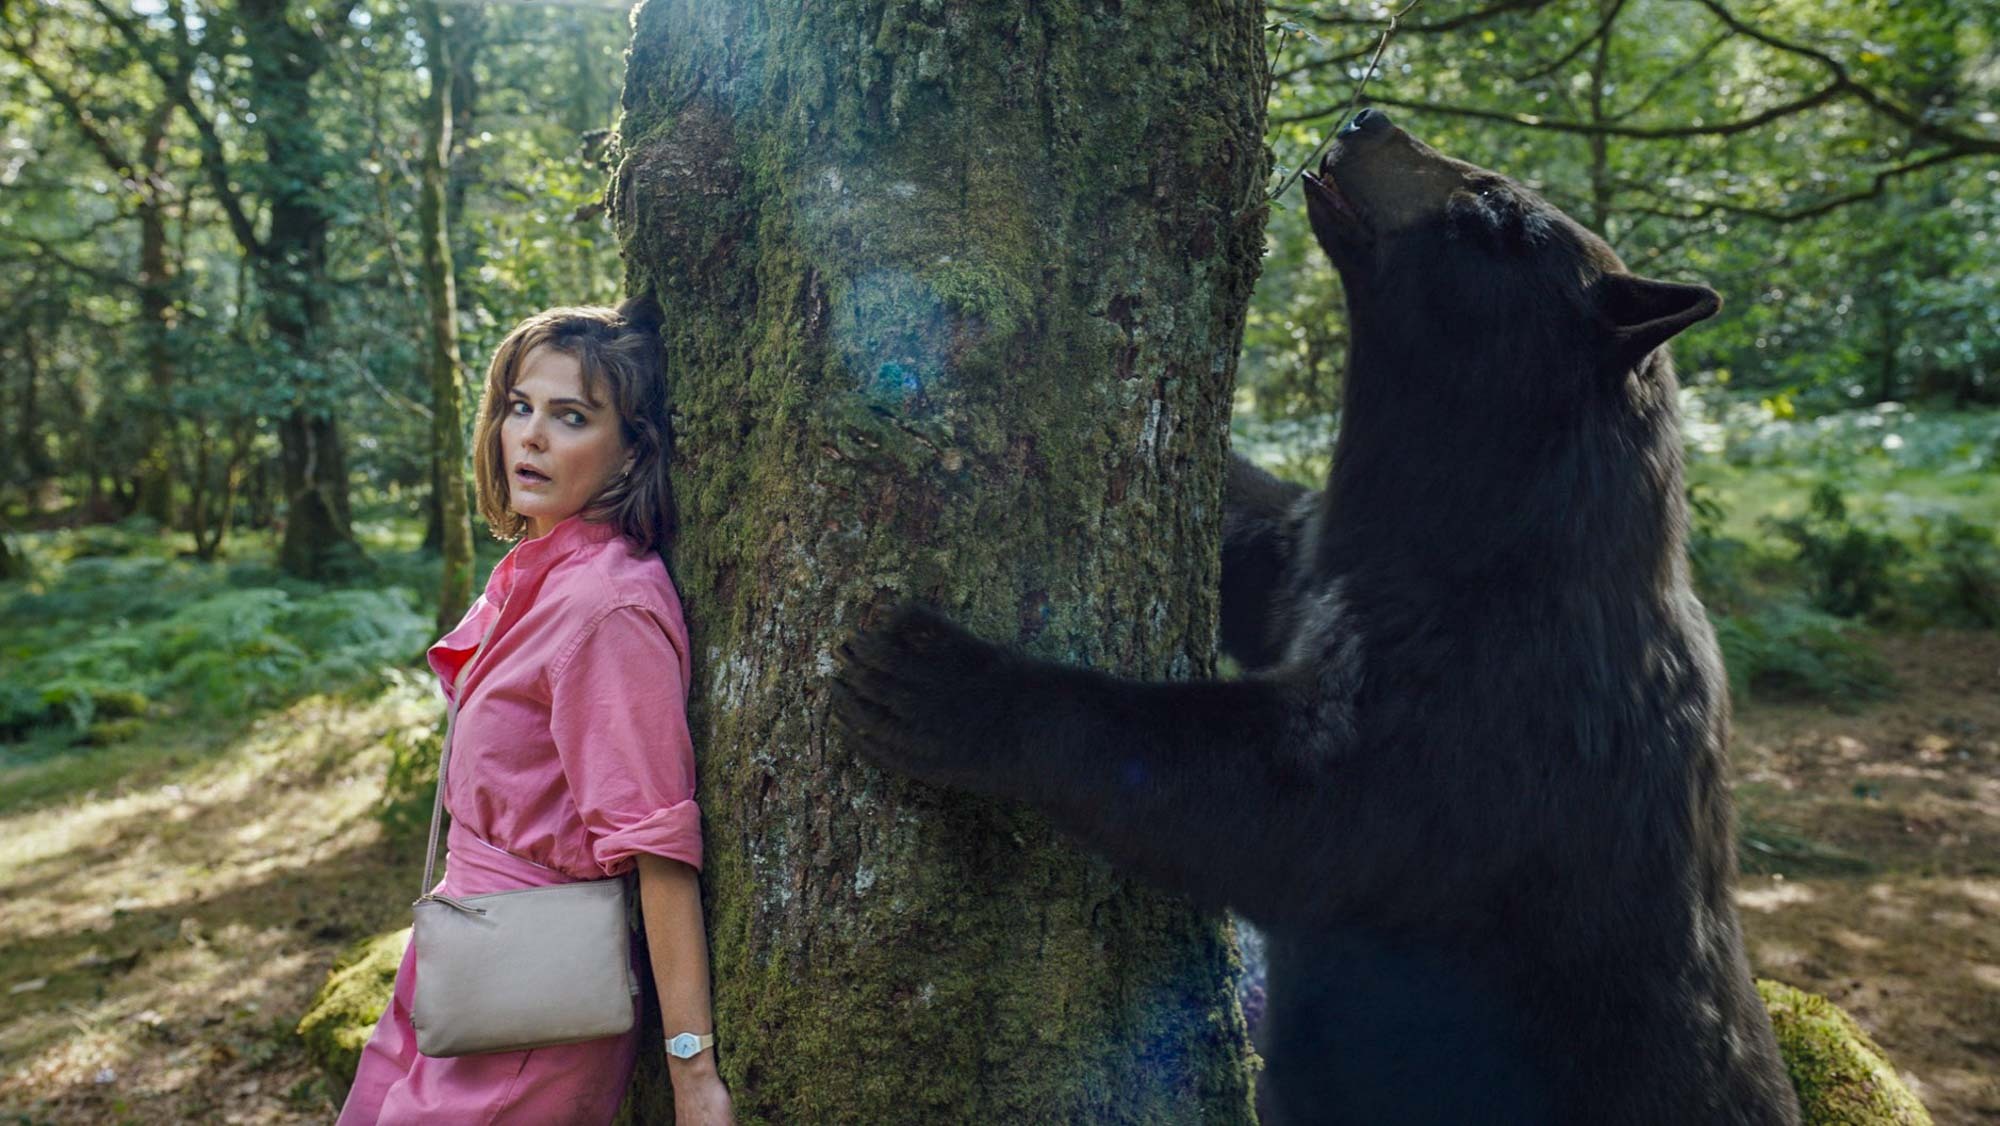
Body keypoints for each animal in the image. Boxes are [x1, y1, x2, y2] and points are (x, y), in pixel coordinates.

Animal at [828, 108, 1800, 1126]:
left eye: (1491, 208)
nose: (1369, 118)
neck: (1484, 533)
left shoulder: (1504, 708)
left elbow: (1289, 805)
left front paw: (942, 683)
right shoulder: (1325, 561)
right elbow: (1259, 543)